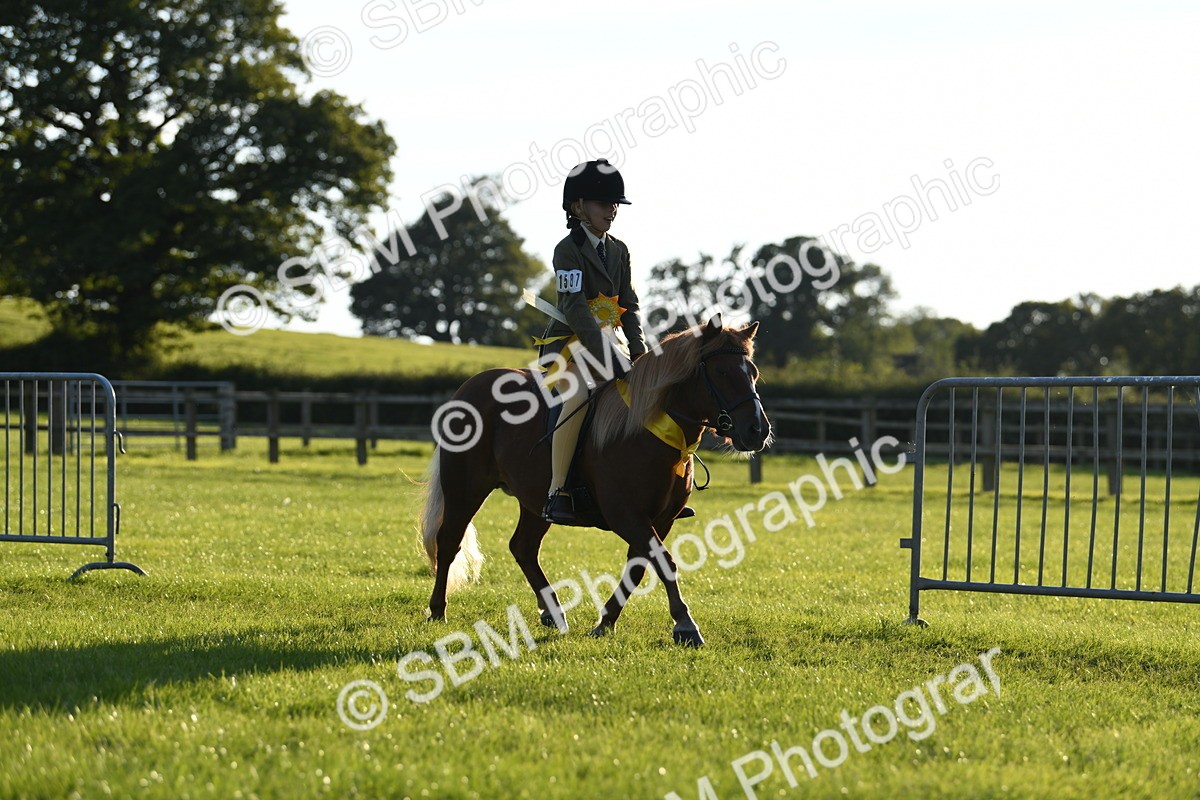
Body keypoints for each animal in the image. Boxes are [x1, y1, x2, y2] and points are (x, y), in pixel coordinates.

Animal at [419, 315, 771, 646]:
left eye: (753, 373)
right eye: (722, 373)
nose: (757, 430)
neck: (650, 430)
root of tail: (470, 387)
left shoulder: (661, 519)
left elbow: (640, 565)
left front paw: (606, 621)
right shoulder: (625, 514)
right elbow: (663, 561)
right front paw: (685, 625)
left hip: (535, 502)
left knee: (523, 547)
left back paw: (553, 613)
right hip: (465, 489)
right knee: (449, 542)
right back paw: (437, 610)